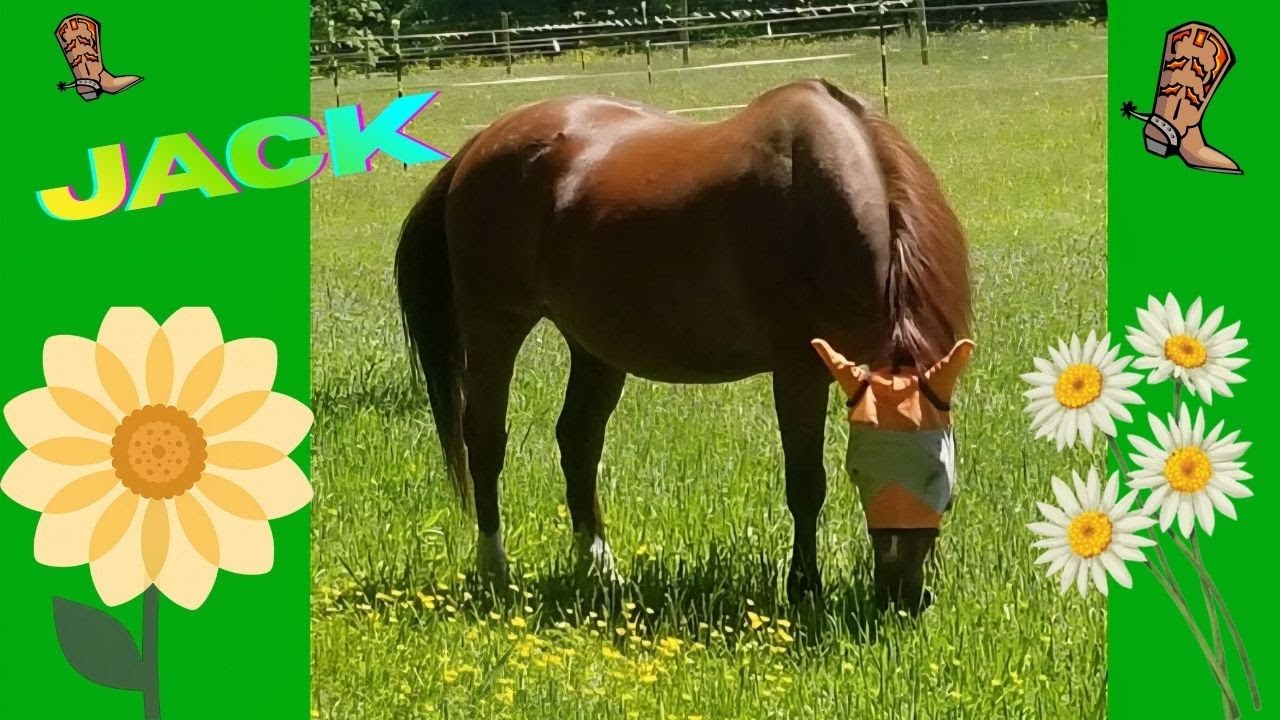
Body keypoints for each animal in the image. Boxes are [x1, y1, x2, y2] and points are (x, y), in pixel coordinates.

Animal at [395, 78, 973, 609]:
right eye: (859, 473)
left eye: (939, 478)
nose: (902, 596)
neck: (818, 204)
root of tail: (480, 144)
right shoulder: (798, 370)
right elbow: (806, 483)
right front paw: (803, 588)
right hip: (494, 323)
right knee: (484, 439)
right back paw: (494, 568)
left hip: (594, 345)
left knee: (578, 440)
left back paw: (599, 568)